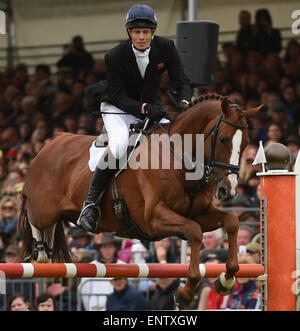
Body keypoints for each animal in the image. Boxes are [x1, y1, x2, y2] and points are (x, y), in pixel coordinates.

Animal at [19, 94, 262, 310]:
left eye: (247, 143)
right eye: (223, 139)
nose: (227, 191)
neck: (179, 161)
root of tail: (50, 143)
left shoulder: (199, 213)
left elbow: (231, 222)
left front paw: (225, 280)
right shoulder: (154, 219)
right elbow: (194, 232)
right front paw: (185, 293)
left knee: (49, 228)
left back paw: (46, 252)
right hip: (44, 209)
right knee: (34, 217)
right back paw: (40, 254)